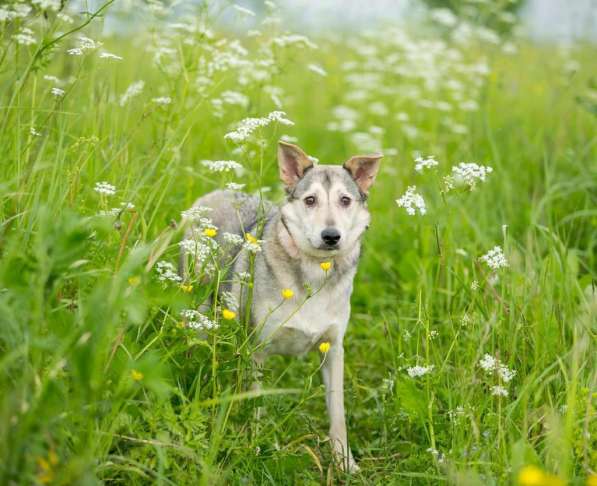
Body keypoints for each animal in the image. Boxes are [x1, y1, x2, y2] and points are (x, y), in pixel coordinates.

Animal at [182, 140, 382, 470]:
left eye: (345, 200)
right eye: (310, 200)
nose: (331, 236)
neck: (315, 271)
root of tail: (214, 194)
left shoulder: (333, 349)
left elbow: (338, 413)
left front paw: (344, 463)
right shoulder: (257, 350)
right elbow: (256, 404)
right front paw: (255, 449)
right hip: (197, 313)